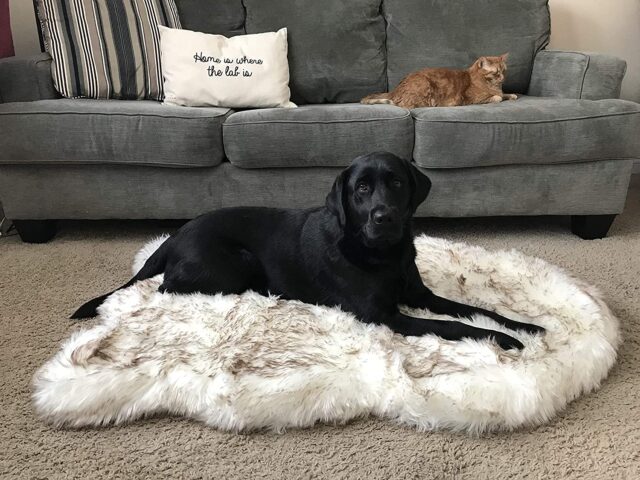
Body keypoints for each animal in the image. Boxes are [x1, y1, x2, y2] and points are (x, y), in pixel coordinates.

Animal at [72, 152, 544, 346]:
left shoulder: (419, 294)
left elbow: (476, 309)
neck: (381, 254)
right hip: (235, 265)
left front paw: (527, 326)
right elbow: (457, 327)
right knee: (165, 288)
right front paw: (506, 342)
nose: (383, 217)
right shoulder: (385, 316)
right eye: (360, 189)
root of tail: (174, 236)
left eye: (395, 182)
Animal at [362, 54, 516, 109]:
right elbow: (497, 97)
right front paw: (500, 96)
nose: (503, 78)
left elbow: (504, 94)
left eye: (504, 71)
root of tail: (394, 90)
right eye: (496, 73)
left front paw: (511, 95)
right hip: (424, 85)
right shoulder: (471, 99)